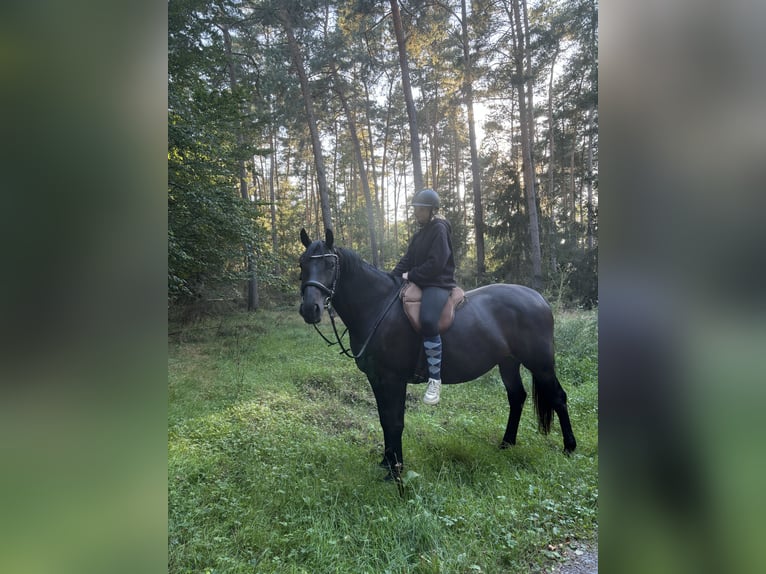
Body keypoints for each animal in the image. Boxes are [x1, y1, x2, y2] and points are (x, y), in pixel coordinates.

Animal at [298, 228, 576, 478]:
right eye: (302, 263)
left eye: (329, 265)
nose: (310, 309)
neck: (377, 305)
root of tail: (539, 299)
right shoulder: (376, 378)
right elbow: (384, 419)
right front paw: (386, 462)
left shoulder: (393, 379)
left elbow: (394, 421)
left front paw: (395, 470)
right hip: (508, 362)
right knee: (517, 397)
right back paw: (506, 443)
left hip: (540, 364)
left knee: (558, 397)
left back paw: (569, 448)